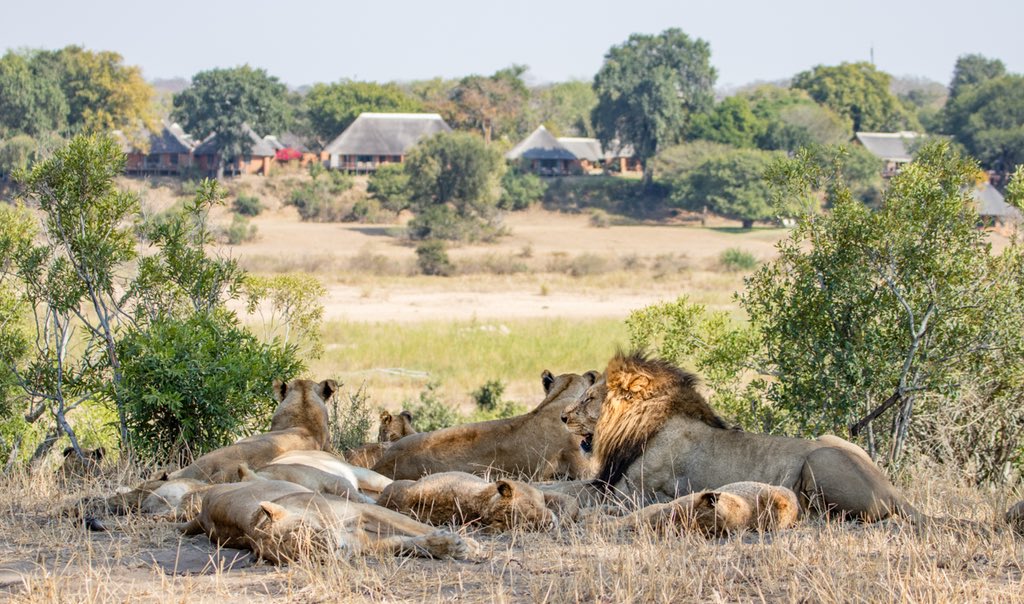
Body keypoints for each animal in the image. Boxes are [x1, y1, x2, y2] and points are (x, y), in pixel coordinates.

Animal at [182, 481, 477, 565]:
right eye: (296, 555)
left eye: (301, 532)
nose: (324, 552)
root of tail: (201, 514)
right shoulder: (365, 542)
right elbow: (406, 543)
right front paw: (449, 546)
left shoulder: (363, 511)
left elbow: (413, 527)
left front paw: (467, 544)